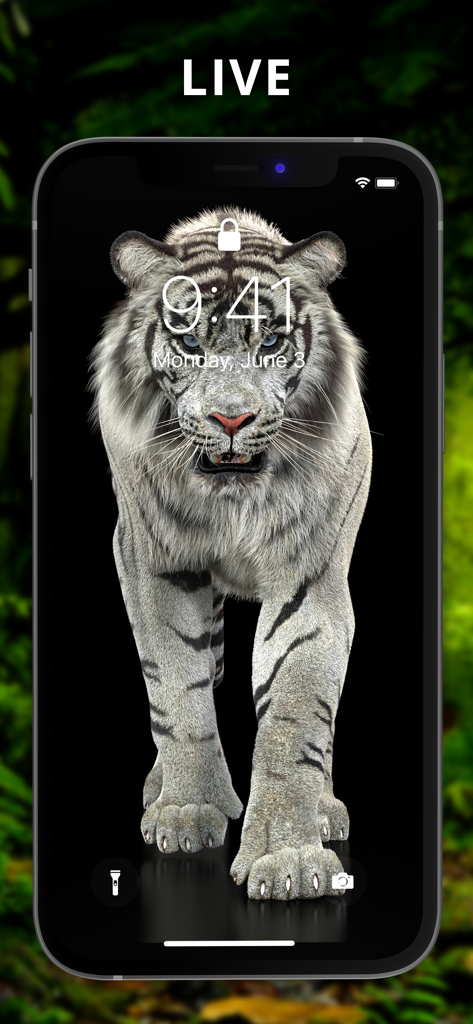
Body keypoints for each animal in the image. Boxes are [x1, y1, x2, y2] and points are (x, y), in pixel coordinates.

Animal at [90, 206, 372, 901]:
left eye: (269, 343)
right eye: (190, 345)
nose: (232, 419)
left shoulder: (309, 580)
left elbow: (295, 717)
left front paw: (287, 859)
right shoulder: (156, 564)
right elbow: (179, 690)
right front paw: (188, 812)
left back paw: (325, 809)